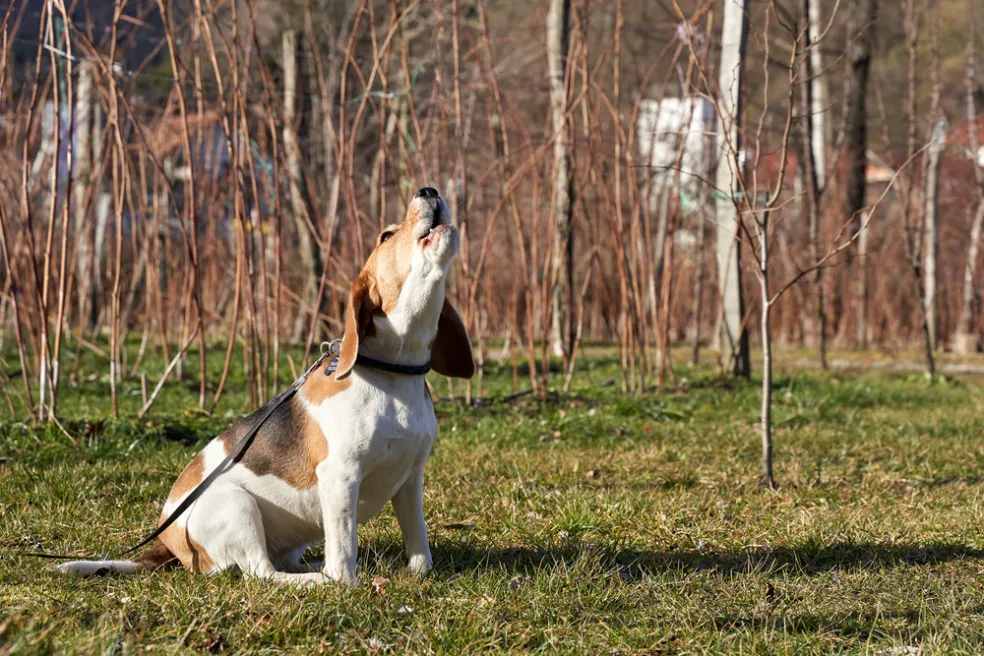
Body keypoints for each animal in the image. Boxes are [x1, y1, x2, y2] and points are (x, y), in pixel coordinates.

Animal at [58, 187, 476, 588]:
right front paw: (346, 581)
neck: (393, 373)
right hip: (237, 506)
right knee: (263, 572)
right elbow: (344, 559)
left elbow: (420, 548)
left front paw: (419, 574)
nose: (428, 189)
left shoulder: (410, 479)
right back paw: (317, 579)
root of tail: (169, 541)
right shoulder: (340, 478)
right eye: (386, 236)